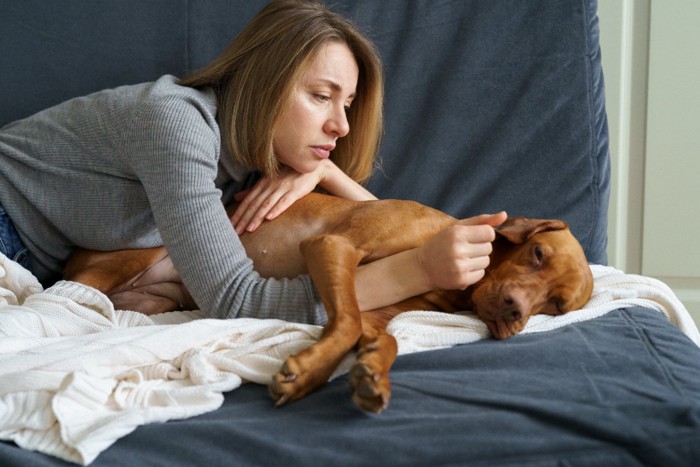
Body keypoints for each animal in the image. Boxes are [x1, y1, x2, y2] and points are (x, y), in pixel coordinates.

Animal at [64, 193, 592, 414]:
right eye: (537, 254)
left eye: (555, 306)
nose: (514, 312)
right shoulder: (333, 247)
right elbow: (347, 322)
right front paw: (306, 373)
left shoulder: (380, 313)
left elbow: (382, 338)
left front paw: (372, 373)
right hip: (129, 256)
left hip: (157, 297)